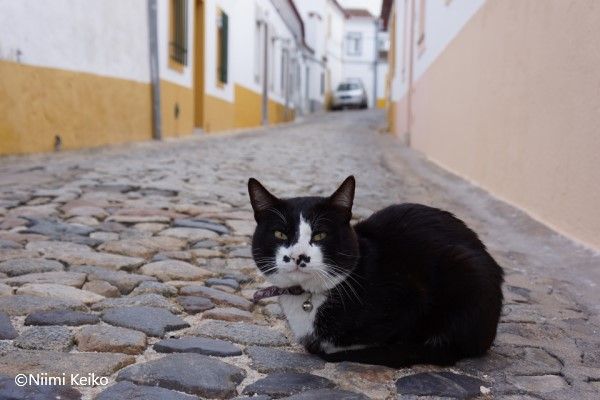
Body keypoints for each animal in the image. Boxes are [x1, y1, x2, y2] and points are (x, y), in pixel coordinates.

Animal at [246, 177, 504, 368]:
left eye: (320, 235)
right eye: (280, 234)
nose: (299, 256)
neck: (307, 299)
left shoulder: (409, 298)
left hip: (466, 268)